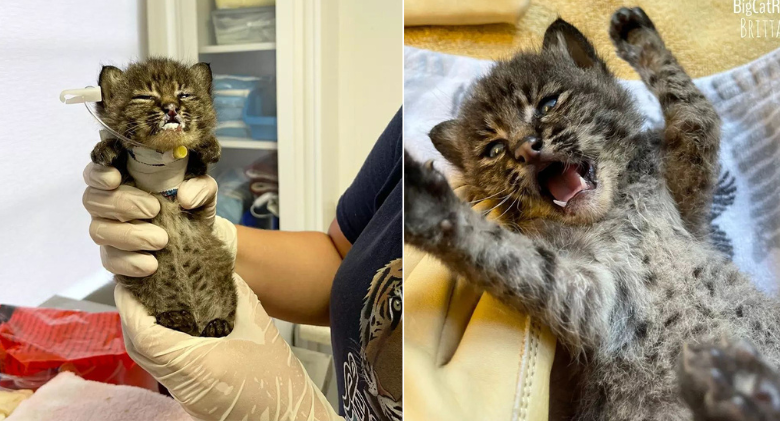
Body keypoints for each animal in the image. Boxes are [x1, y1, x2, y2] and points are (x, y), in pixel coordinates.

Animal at [90, 57, 235, 336]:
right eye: (145, 96)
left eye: (184, 94)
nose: (171, 108)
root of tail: (198, 323)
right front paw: (105, 148)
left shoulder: (193, 176)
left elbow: (198, 161)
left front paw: (209, 145)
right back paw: (177, 318)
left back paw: (218, 324)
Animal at [406, 7, 780, 420]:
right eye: (495, 150)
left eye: (548, 104)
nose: (525, 148)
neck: (612, 210)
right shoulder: (592, 292)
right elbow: (512, 255)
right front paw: (431, 208)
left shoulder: (688, 192)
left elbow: (694, 107)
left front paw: (639, 38)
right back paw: (739, 386)